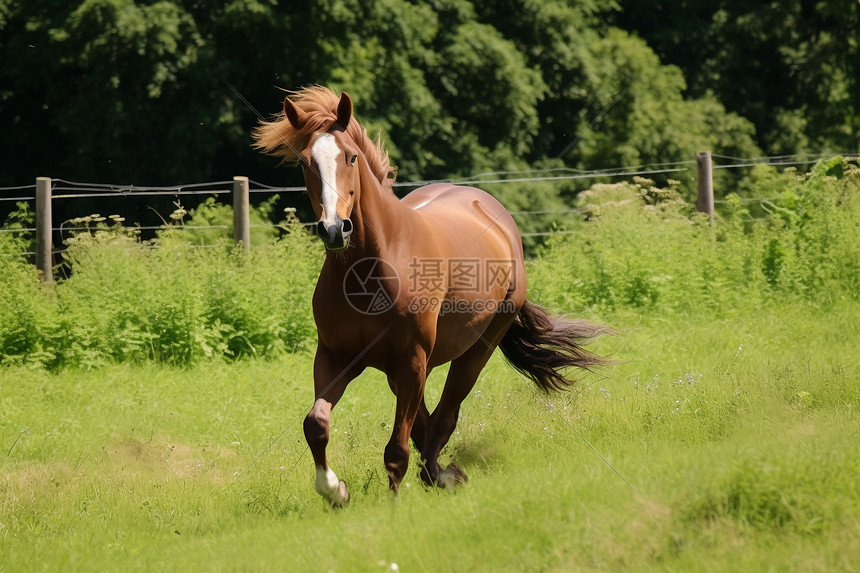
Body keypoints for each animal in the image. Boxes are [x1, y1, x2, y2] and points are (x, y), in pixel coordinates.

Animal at [252, 85, 608, 504]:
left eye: (350, 156)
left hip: (476, 349)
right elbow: (316, 424)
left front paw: (394, 505)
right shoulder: (336, 358)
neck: (369, 270)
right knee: (426, 423)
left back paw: (441, 475)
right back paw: (439, 474)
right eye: (305, 163)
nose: (335, 229)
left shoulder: (412, 360)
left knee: (445, 416)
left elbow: (396, 449)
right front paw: (335, 491)